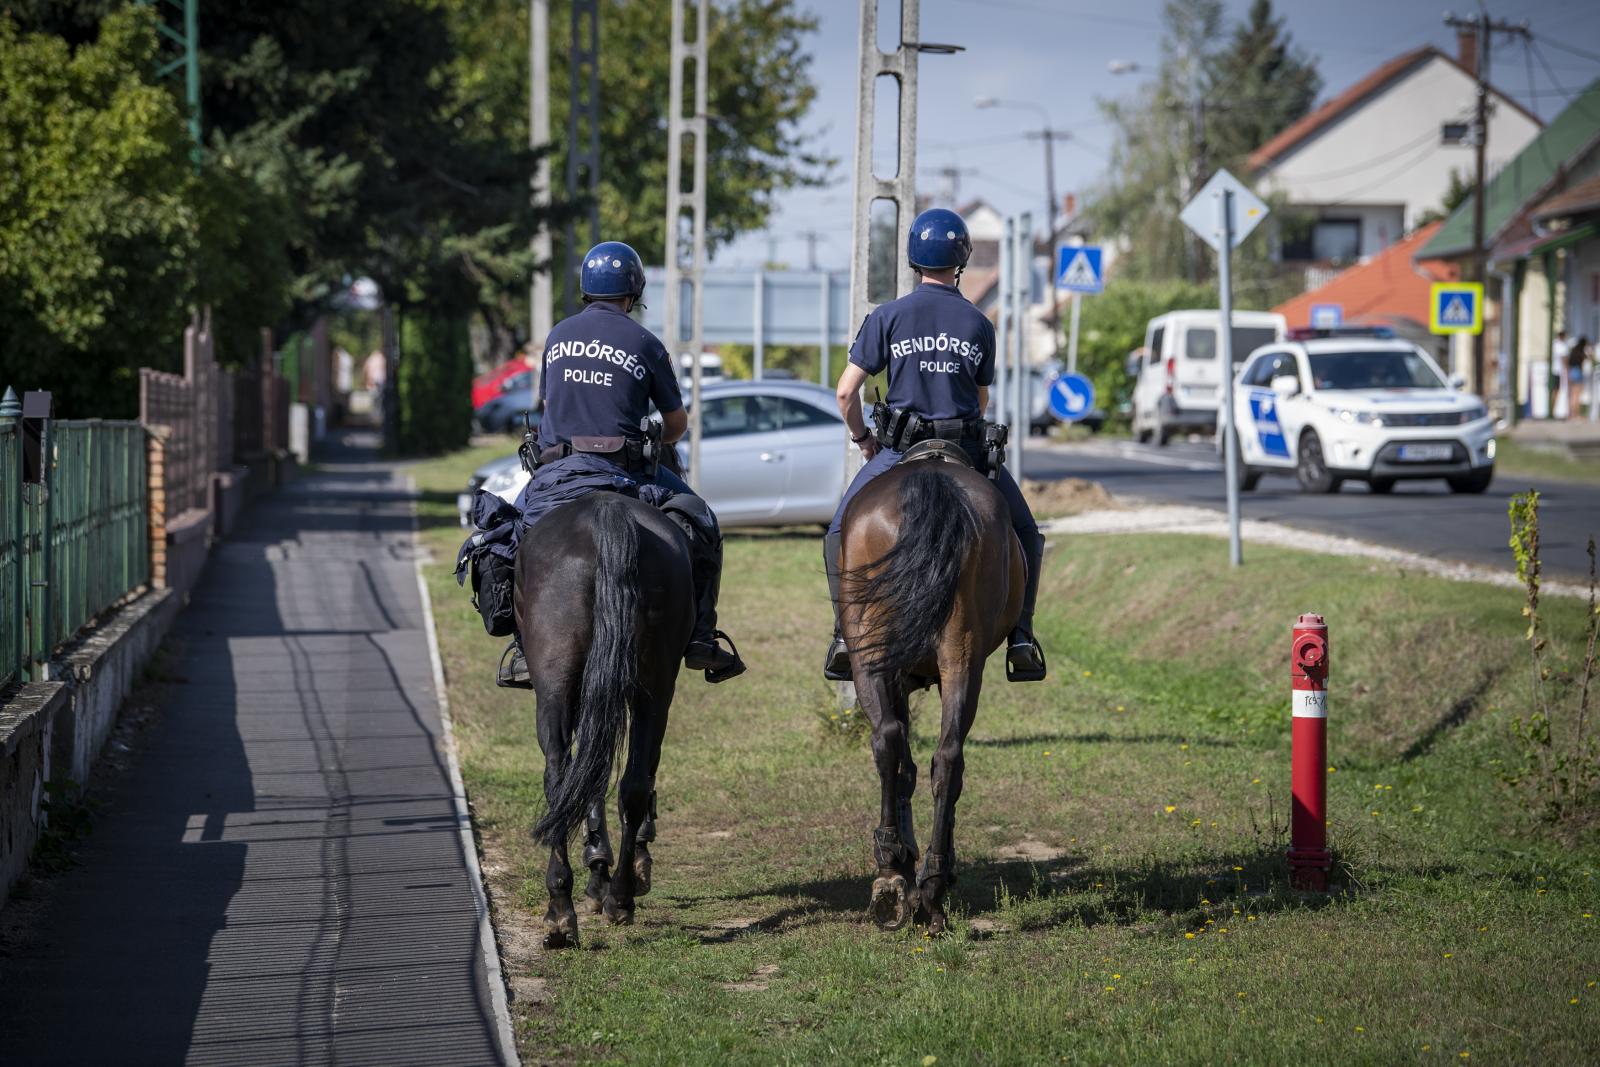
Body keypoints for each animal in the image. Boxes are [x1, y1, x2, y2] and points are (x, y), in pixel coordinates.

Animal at [512, 492, 688, 953]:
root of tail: (606, 511)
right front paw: (610, 868)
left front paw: (596, 874)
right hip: (652, 686)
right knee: (628, 784)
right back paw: (606, 901)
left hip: (564, 688)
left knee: (563, 776)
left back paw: (573, 907)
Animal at [838, 454, 1024, 940]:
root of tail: (932, 478)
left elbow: (904, 765)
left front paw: (903, 862)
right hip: (958, 657)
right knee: (946, 757)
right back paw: (931, 883)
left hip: (876, 654)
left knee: (892, 743)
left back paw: (897, 873)